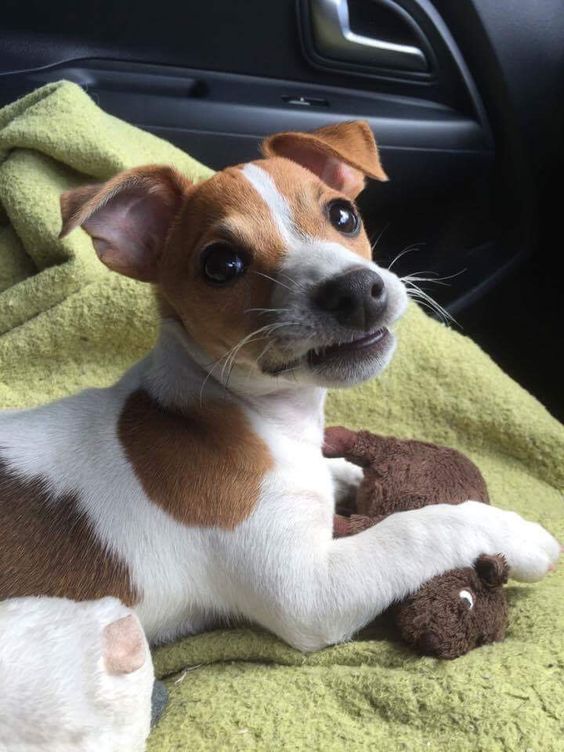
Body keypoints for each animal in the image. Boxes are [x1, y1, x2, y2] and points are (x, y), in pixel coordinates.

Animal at [0, 120, 556, 648]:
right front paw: (516, 532)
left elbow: (340, 473)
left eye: (343, 216)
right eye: (221, 265)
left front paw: (362, 477)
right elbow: (418, 527)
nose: (357, 290)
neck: (244, 414)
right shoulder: (310, 592)